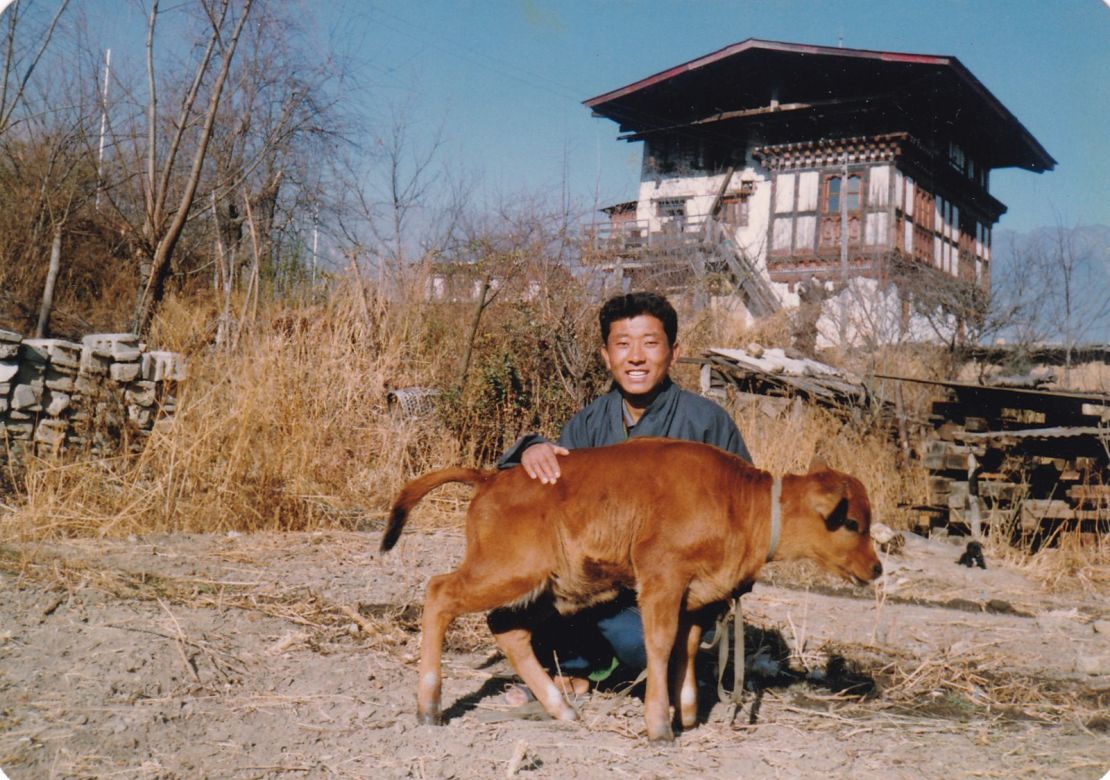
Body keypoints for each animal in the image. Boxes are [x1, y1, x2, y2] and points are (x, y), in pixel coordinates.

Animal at [381, 437, 883, 741]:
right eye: (851, 523)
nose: (876, 568)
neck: (741, 503)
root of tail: (491, 477)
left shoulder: (697, 597)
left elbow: (686, 647)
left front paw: (686, 714)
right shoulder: (661, 580)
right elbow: (659, 645)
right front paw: (659, 725)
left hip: (544, 589)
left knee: (509, 631)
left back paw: (561, 709)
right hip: (505, 572)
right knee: (439, 593)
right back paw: (429, 706)